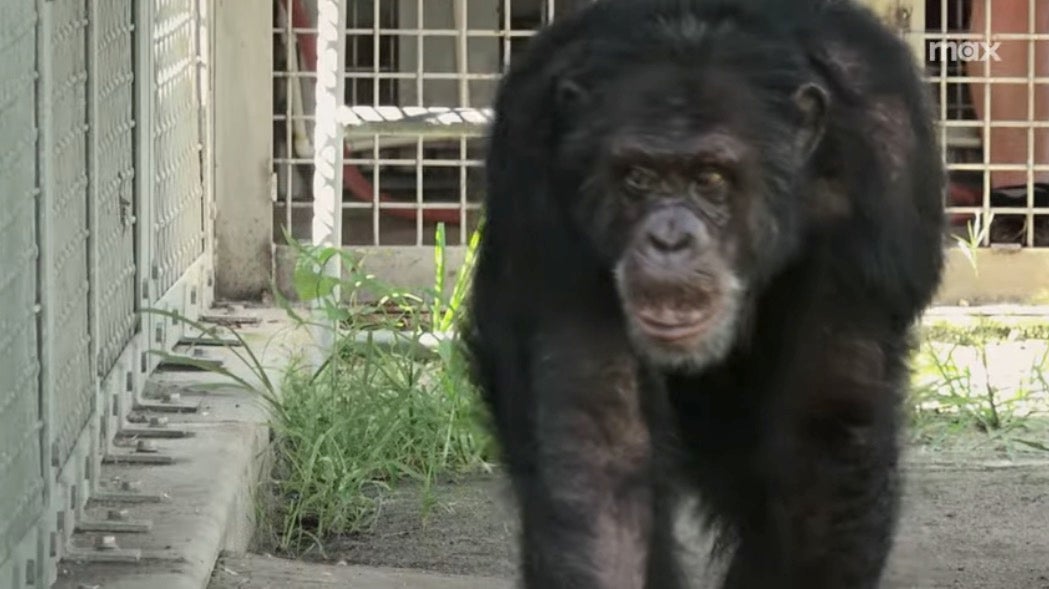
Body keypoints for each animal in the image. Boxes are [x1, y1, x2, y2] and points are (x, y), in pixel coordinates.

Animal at [463, 2, 948, 583]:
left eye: (711, 179)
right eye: (638, 177)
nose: (669, 238)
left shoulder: (881, 165)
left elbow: (825, 431)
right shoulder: (538, 172)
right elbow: (600, 432)